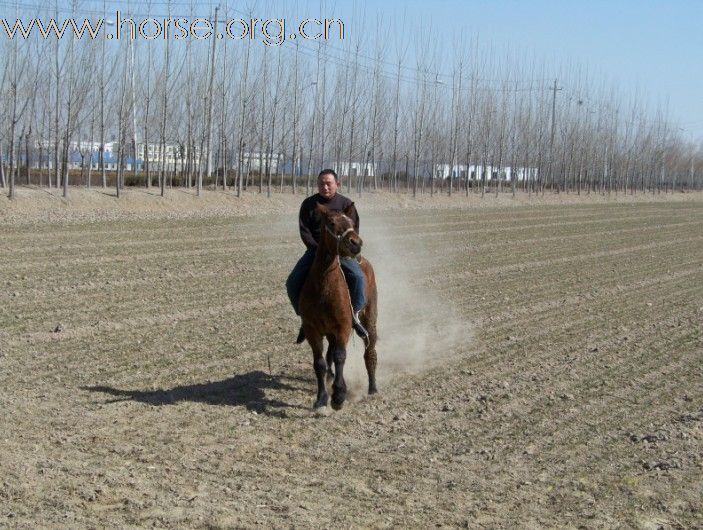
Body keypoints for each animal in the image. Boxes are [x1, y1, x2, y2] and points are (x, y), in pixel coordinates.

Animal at [298, 202, 380, 408]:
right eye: (332, 222)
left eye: (351, 222)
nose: (356, 243)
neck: (324, 285)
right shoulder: (312, 330)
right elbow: (319, 362)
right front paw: (321, 398)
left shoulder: (343, 326)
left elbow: (340, 356)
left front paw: (338, 396)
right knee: (329, 356)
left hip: (369, 318)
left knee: (369, 350)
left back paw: (372, 387)